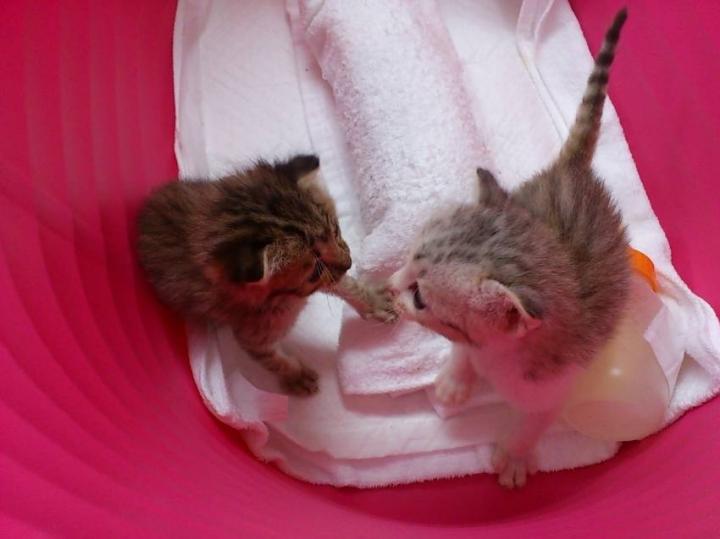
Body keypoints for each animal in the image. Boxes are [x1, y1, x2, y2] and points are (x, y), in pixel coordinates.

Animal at [137, 154, 396, 395]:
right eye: (315, 269)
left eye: (335, 230)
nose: (349, 263)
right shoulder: (252, 335)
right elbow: (273, 360)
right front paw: (297, 377)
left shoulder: (328, 278)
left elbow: (346, 285)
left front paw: (375, 301)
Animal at [388, 8, 630, 487]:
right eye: (407, 257)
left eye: (421, 297)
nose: (389, 284)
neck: (496, 356)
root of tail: (572, 172)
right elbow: (462, 352)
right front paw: (456, 379)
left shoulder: (552, 385)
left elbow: (534, 421)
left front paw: (515, 456)